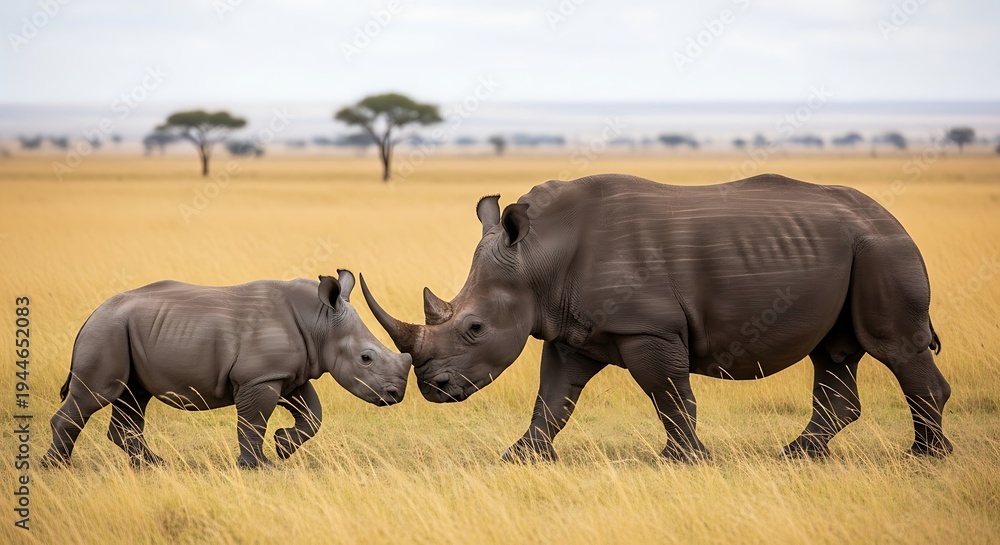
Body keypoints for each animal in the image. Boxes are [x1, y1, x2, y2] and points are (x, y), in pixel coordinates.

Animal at [43, 270, 411, 469]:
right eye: (366, 358)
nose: (396, 394)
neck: (320, 322)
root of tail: (92, 314)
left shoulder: (287, 374)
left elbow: (313, 414)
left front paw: (282, 446)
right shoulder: (259, 377)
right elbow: (253, 421)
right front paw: (260, 466)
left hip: (122, 331)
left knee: (133, 396)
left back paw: (154, 465)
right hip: (107, 332)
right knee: (97, 394)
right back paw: (57, 469)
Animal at [361, 173, 952, 462]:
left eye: (475, 329)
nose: (433, 389)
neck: (536, 258)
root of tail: (890, 217)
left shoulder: (647, 326)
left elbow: (667, 392)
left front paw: (685, 459)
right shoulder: (571, 331)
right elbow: (553, 398)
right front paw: (520, 458)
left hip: (882, 249)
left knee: (894, 346)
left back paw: (924, 458)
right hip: (855, 249)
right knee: (834, 351)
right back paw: (798, 455)